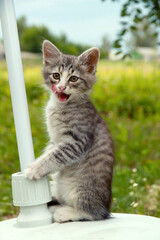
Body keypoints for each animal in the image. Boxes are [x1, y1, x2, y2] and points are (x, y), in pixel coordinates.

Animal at [25, 40, 114, 223]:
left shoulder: (77, 141)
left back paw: (66, 212)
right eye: (56, 75)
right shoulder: (55, 140)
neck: (60, 107)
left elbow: (55, 155)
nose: (61, 87)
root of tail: (107, 207)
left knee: (94, 214)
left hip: (82, 189)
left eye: (73, 78)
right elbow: (49, 152)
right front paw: (39, 163)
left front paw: (34, 169)